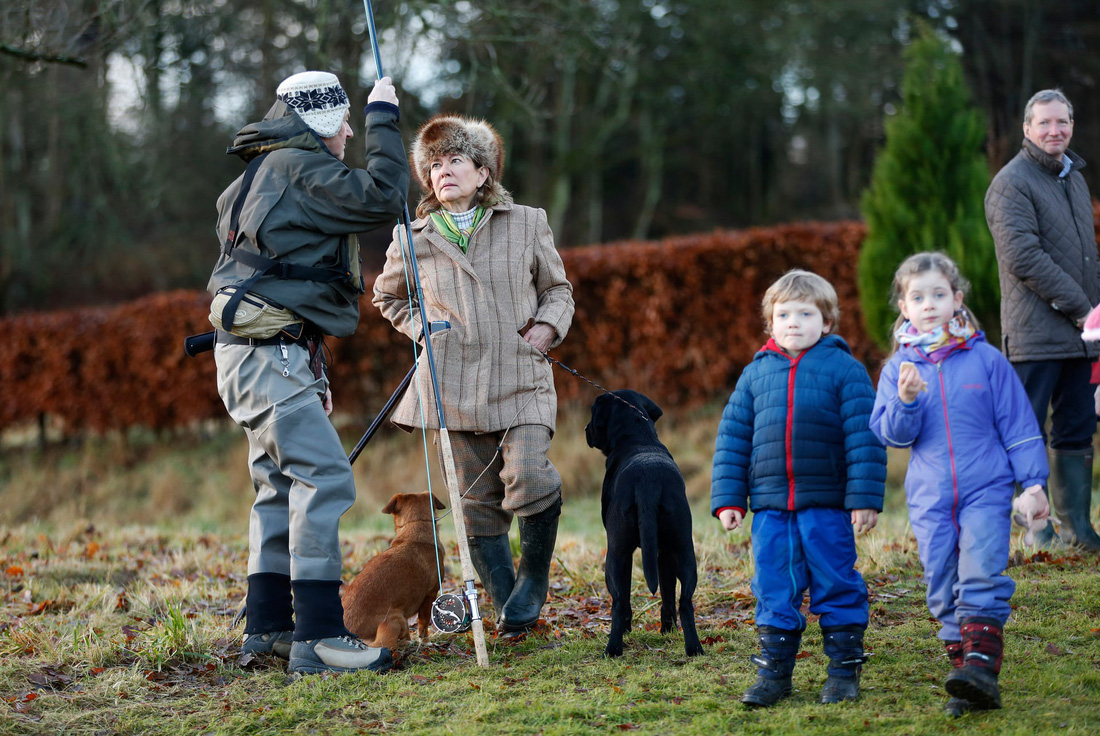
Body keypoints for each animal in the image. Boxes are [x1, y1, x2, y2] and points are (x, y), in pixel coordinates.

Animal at [585, 387, 704, 655]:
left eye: (593, 412)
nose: (586, 430)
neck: (638, 437)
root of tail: (648, 482)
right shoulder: (663, 552)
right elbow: (668, 592)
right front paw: (668, 631)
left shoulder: (626, 553)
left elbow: (627, 596)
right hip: (684, 548)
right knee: (685, 601)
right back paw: (694, 648)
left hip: (615, 555)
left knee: (618, 602)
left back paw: (613, 649)